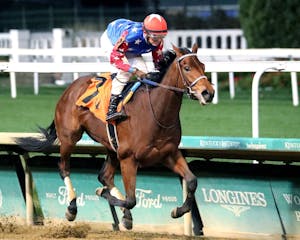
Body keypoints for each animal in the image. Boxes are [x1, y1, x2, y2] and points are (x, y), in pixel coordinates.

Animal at [18, 43, 213, 231]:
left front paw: (178, 210)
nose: (208, 93)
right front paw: (102, 194)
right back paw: (72, 208)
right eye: (187, 67)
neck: (157, 112)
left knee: (105, 176)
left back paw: (124, 215)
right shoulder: (129, 158)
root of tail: (70, 88)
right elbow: (131, 199)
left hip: (112, 147)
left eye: (203, 66)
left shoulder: (168, 154)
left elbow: (192, 181)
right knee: (64, 168)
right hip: (69, 138)